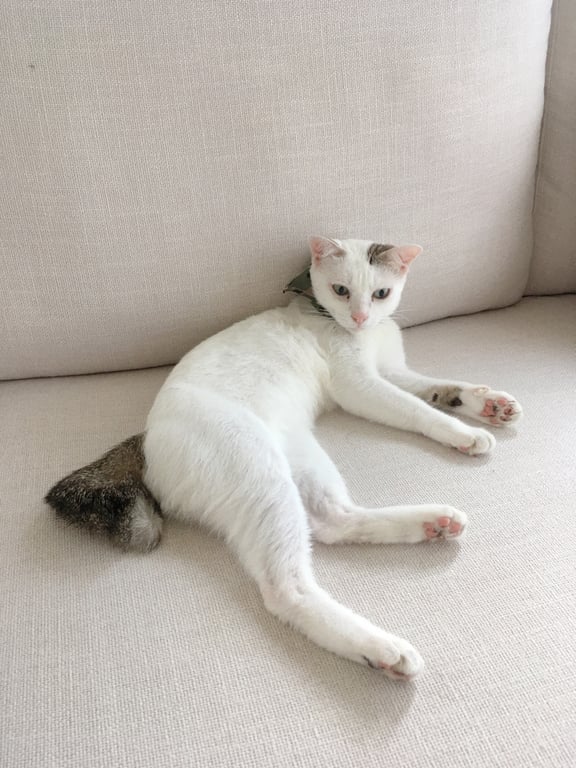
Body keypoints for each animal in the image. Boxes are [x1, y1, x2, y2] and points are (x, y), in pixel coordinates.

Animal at [46, 236, 522, 681]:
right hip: (258, 473)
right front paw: (464, 431)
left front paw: (488, 404)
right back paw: (381, 647)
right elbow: (417, 409)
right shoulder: (361, 386)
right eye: (341, 290)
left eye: (381, 293)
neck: (361, 334)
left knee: (333, 521)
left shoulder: (392, 372)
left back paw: (431, 522)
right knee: (286, 589)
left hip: (301, 456)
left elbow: (437, 387)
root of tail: (146, 441)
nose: (360, 317)